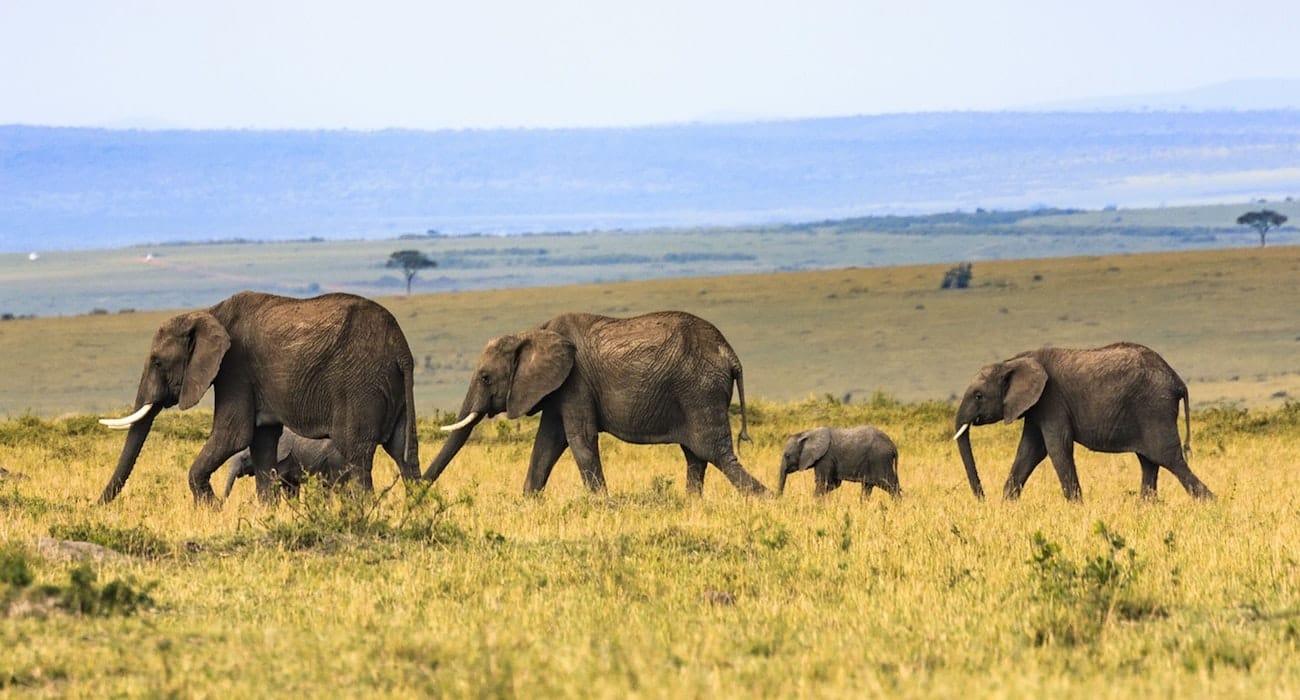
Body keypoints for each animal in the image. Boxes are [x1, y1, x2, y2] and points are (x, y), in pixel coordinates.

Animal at [426, 310, 769, 497]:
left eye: (485, 377)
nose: (417, 490)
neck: (533, 332)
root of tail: (730, 354)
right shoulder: (559, 388)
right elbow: (547, 444)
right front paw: (527, 501)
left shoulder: (575, 381)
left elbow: (580, 439)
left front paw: (603, 504)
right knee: (696, 456)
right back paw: (691, 504)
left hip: (700, 391)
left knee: (715, 452)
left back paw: (766, 499)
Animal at [951, 340, 1211, 499]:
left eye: (978, 395)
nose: (982, 499)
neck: (1013, 361)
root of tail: (1178, 381)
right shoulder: (1036, 407)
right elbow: (1029, 451)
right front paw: (1006, 505)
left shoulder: (1052, 399)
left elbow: (1056, 448)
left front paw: (1076, 506)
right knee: (1149, 462)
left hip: (1154, 409)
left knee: (1168, 458)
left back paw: (1210, 503)